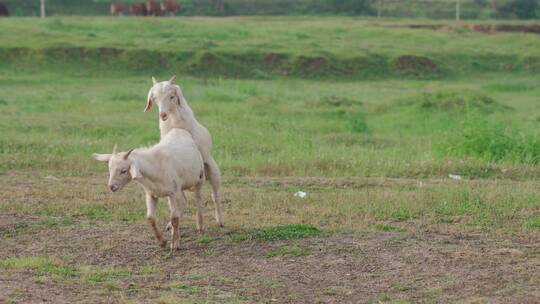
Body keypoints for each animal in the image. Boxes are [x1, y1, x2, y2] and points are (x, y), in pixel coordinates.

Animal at [143, 76, 224, 228]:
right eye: (154, 98)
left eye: (172, 96)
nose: (163, 115)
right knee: (183, 200)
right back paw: (171, 224)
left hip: (213, 171)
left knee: (215, 195)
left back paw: (220, 220)